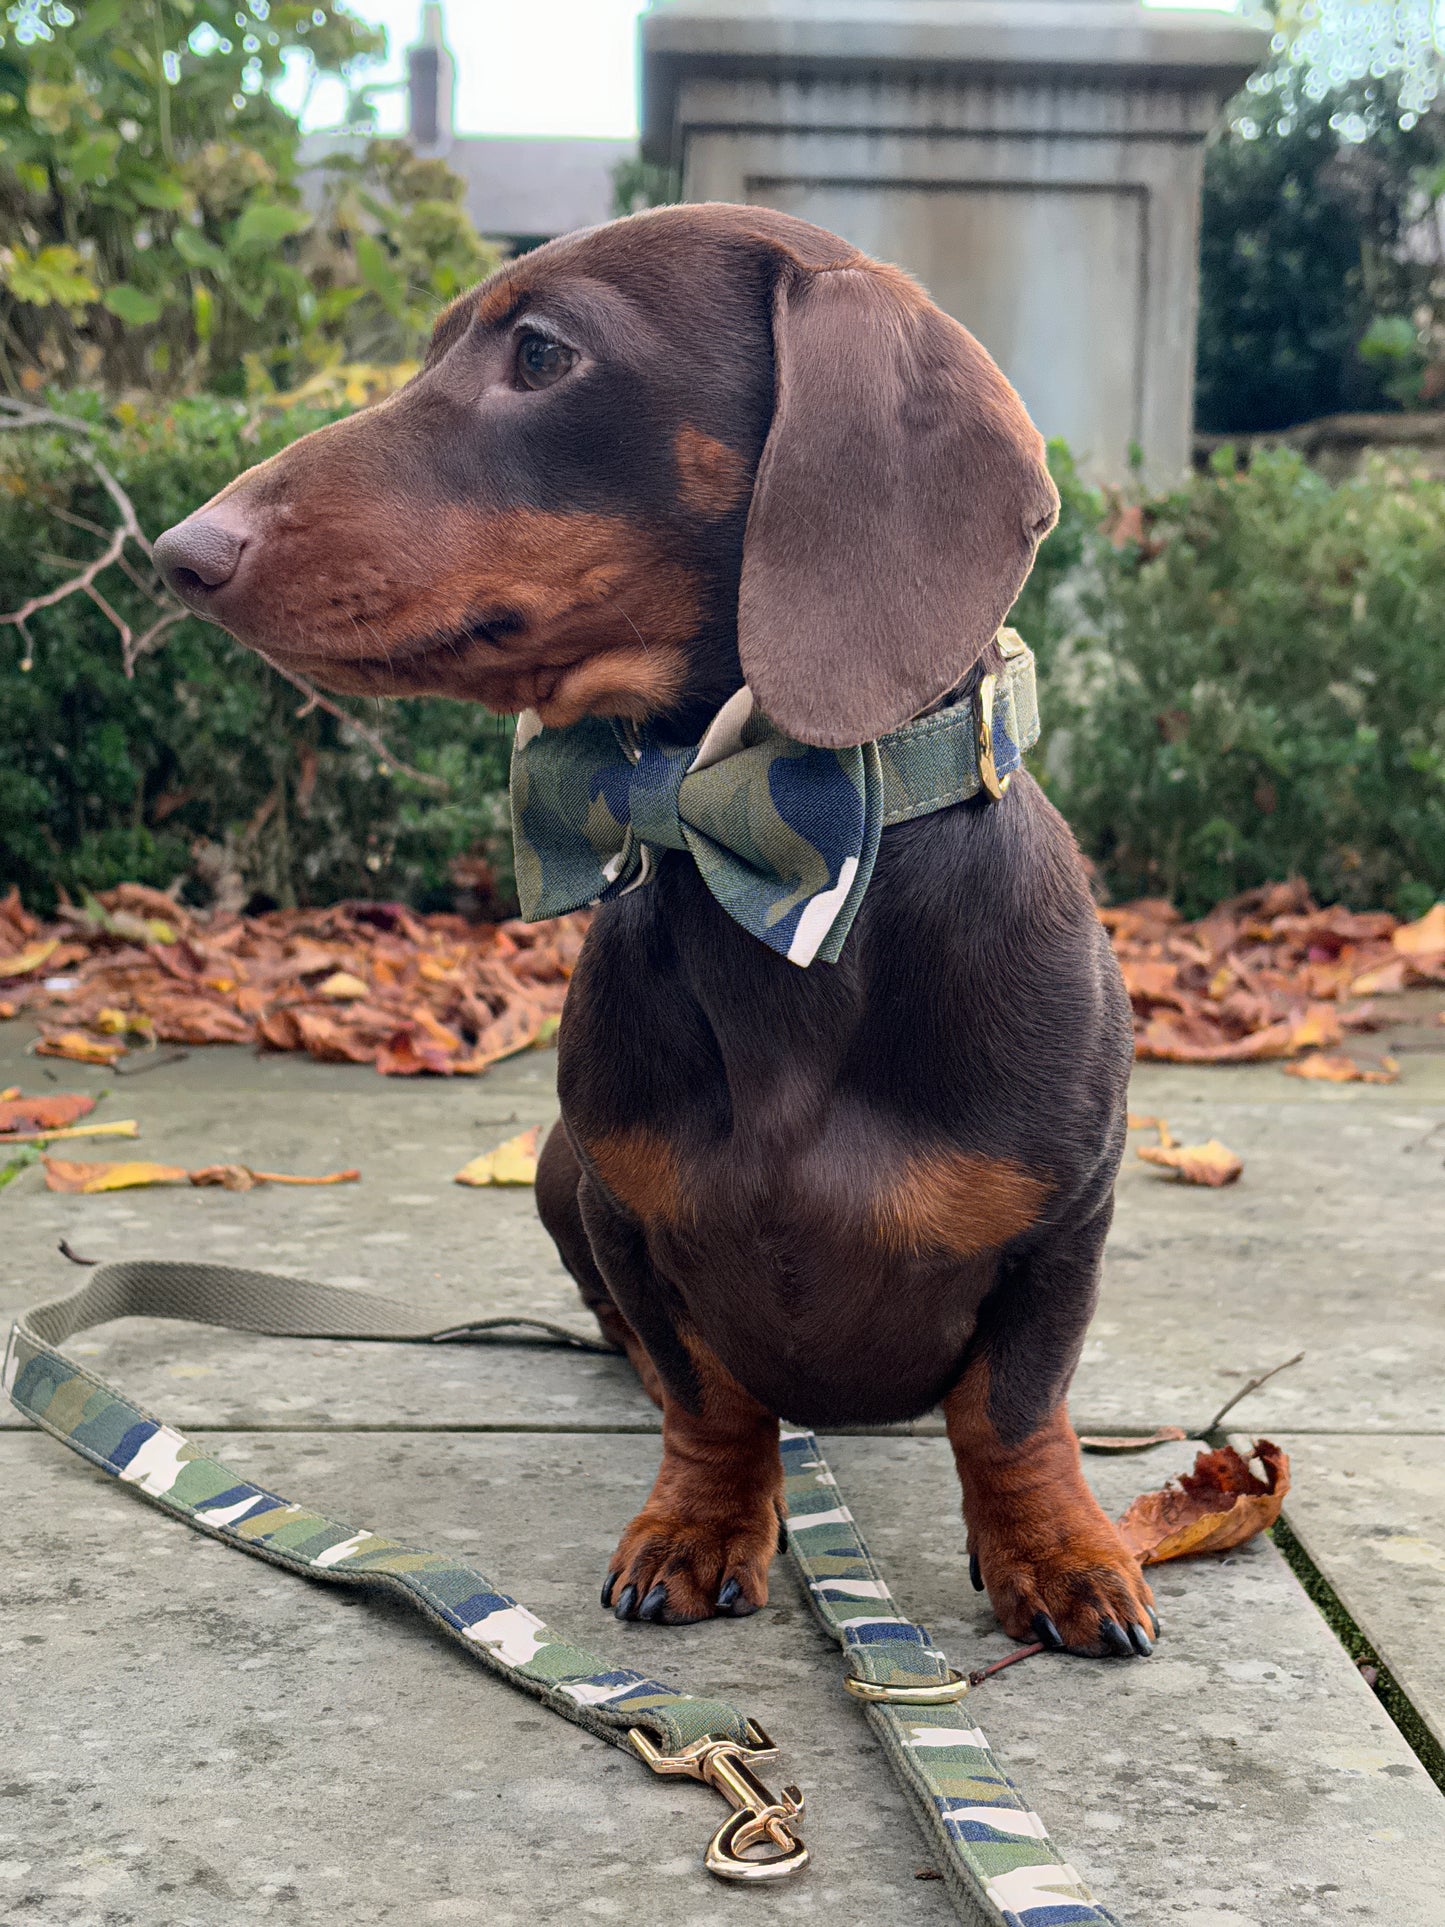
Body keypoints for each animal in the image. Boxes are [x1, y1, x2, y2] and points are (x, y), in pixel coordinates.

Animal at [156, 207, 1156, 1657]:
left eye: (542, 351)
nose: (180, 553)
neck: (769, 855)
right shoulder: (625, 1211)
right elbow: (711, 1396)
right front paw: (700, 1523)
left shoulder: (1064, 1219)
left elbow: (1012, 1408)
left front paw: (1057, 1549)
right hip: (551, 1168)